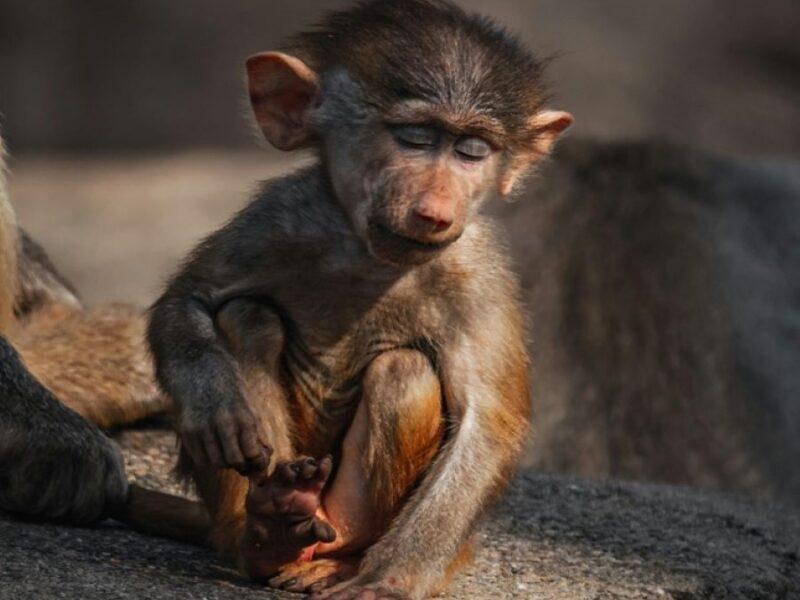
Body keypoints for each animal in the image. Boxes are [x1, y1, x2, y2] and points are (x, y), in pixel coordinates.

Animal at [146, 1, 572, 597]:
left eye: (472, 151)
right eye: (414, 137)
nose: (435, 210)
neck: (373, 258)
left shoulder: (477, 273)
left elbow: (485, 427)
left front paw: (389, 579)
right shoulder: (285, 216)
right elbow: (189, 300)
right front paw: (217, 409)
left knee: (403, 373)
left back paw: (337, 554)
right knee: (246, 316)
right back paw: (273, 524)